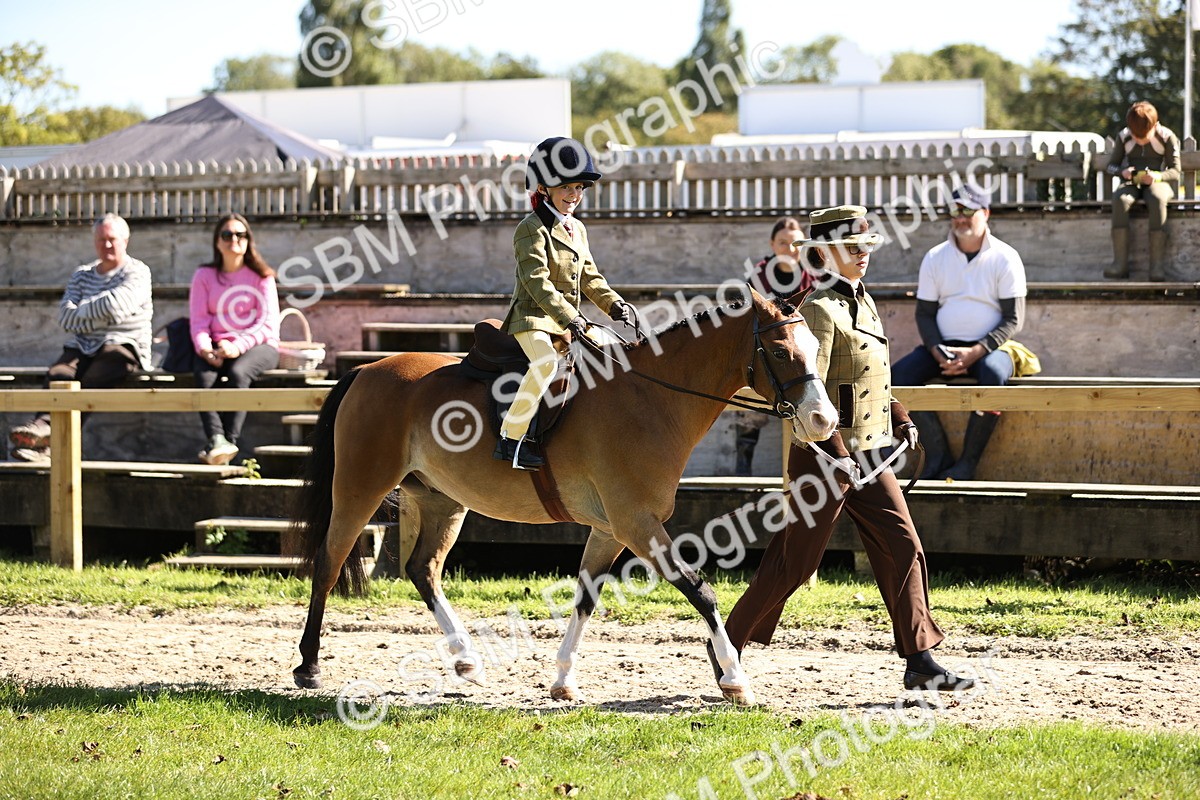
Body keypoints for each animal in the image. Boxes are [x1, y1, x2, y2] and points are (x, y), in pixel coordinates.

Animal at [291, 286, 838, 704]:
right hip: (359, 489)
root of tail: (367, 370)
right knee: (329, 562)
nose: (824, 421)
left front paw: (562, 680)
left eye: (815, 346)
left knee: (422, 570)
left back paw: (467, 661)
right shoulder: (638, 524)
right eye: (782, 352)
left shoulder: (610, 529)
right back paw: (309, 666)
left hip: (442, 501)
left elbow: (586, 597)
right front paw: (734, 679)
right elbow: (700, 591)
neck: (649, 398)